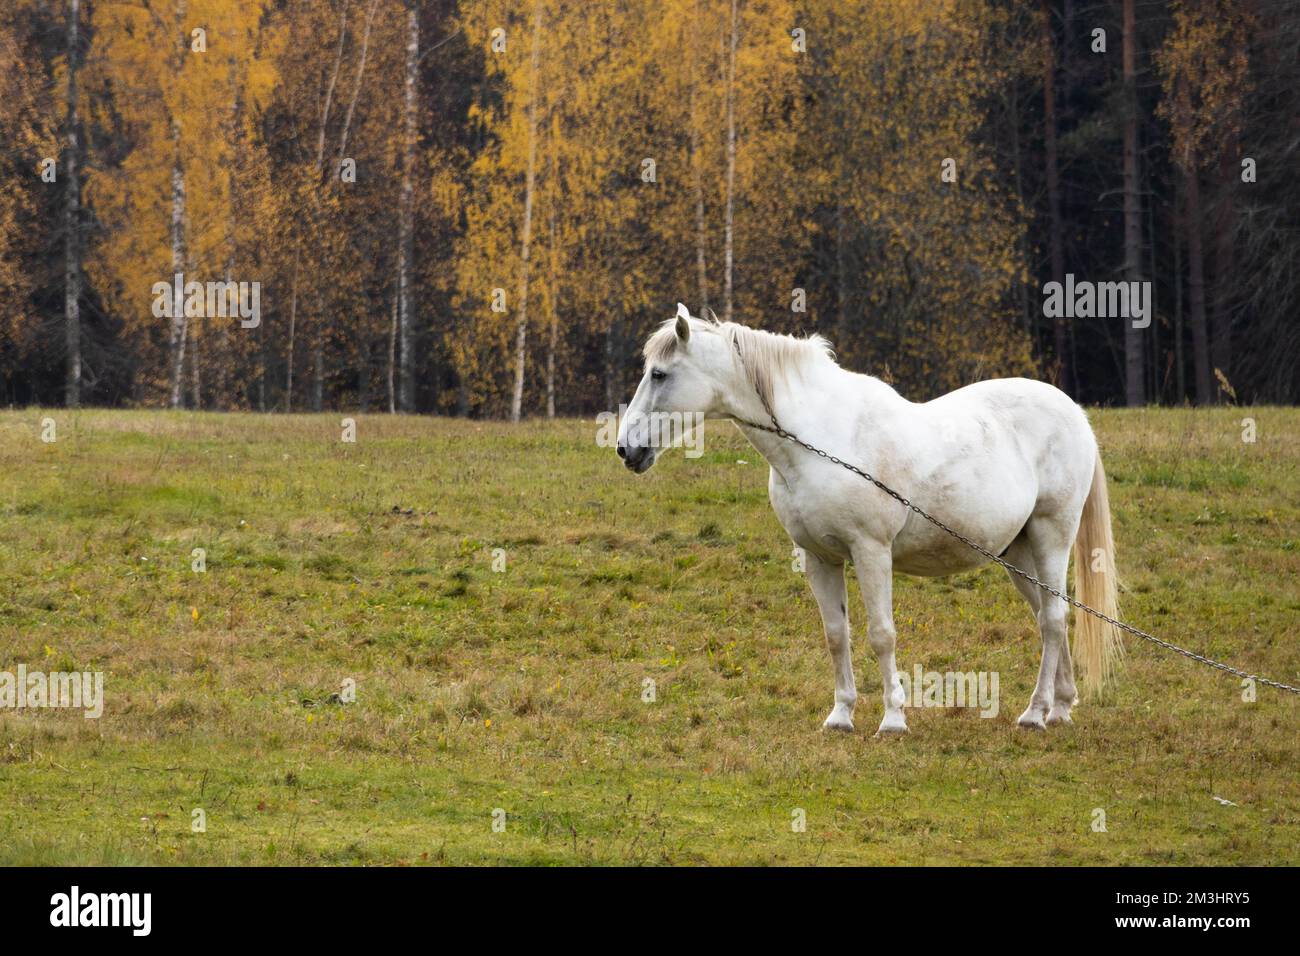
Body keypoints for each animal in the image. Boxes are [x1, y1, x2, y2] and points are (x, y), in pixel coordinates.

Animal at [613, 303, 1123, 738]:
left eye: (659, 374)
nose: (625, 449)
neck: (822, 440)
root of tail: (1073, 412)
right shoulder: (818, 557)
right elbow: (836, 635)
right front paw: (840, 716)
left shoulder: (871, 551)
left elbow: (881, 634)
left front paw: (893, 720)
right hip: (1017, 552)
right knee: (1048, 617)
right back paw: (1061, 706)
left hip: (1051, 535)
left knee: (1053, 619)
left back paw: (1035, 714)